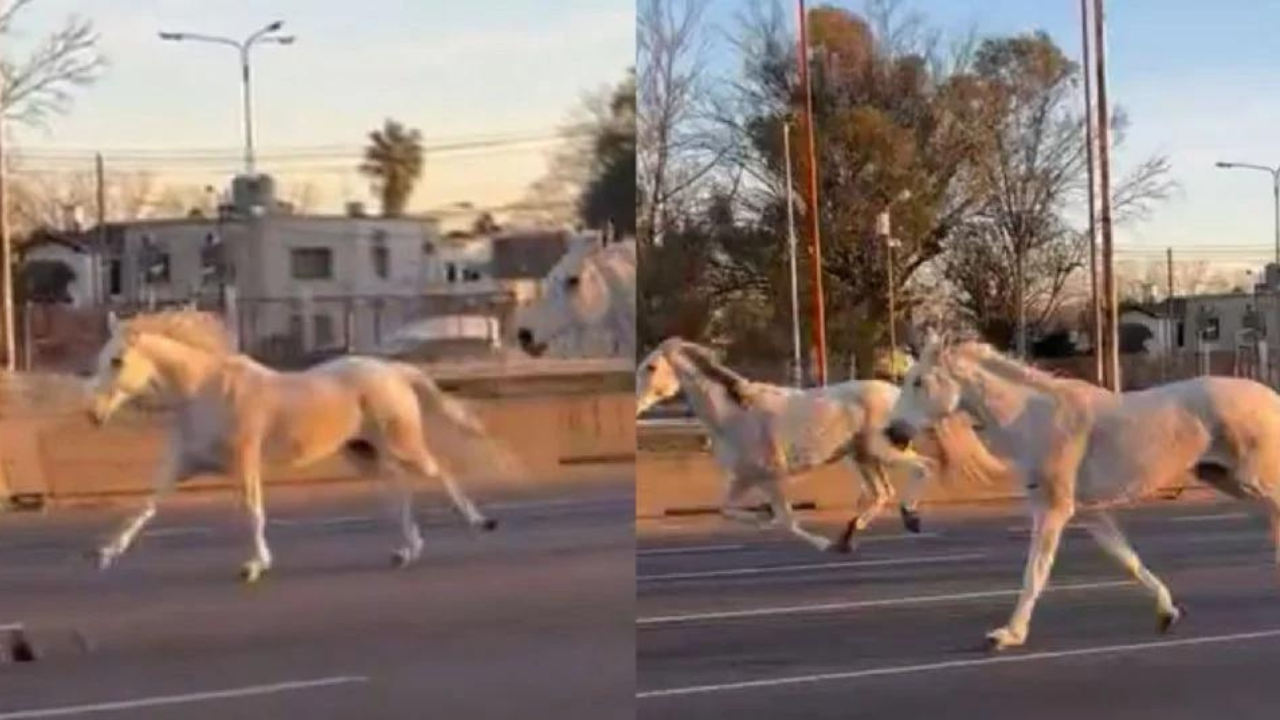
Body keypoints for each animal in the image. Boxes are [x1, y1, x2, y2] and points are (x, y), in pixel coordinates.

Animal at [83, 311, 504, 579]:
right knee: (398, 489)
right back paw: (406, 551)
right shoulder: (183, 465)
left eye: (117, 360)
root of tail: (393, 370)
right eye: (101, 358)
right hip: (363, 453)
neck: (203, 390)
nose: (93, 414)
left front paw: (255, 566)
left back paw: (480, 522)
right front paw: (105, 555)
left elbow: (253, 511)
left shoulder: (245, 460)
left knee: (439, 470)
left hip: (403, 444)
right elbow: (145, 507)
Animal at [640, 338, 967, 550]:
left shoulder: (770, 477)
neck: (734, 413)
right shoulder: (745, 478)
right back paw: (848, 535)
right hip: (862, 456)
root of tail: (897, 393)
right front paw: (761, 518)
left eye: (651, 366)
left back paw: (910, 518)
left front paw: (821, 543)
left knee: (923, 467)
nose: (638, 404)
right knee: (881, 493)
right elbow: (727, 510)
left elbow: (785, 520)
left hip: (883, 451)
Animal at [890, 335, 1280, 650]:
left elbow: (1036, 571)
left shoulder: (1054, 509)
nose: (893, 433)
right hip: (1227, 478)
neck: (1033, 419)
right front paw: (1167, 612)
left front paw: (1008, 635)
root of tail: (1272, 397)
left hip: (1252, 478)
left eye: (919, 381)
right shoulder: (1089, 511)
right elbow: (1127, 559)